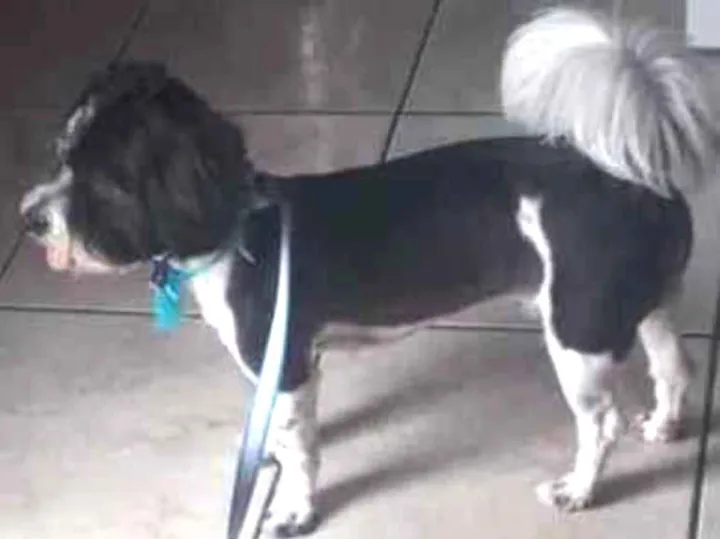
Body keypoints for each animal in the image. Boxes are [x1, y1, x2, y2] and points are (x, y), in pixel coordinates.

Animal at [19, 7, 718, 536]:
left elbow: (302, 452)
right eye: (60, 156)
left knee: (601, 424)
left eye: (106, 187)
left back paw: (579, 488)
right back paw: (665, 423)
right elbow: (286, 431)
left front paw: (295, 510)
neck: (237, 228)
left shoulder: (287, 362)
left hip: (579, 334)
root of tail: (638, 179)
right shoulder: (293, 368)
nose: (29, 219)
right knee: (674, 366)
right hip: (637, 305)